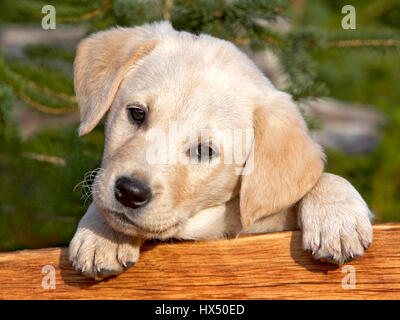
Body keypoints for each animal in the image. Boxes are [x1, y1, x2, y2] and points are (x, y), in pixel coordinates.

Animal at [69, 21, 372, 280]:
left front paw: (337, 219)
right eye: (136, 113)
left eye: (205, 151)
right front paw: (103, 233)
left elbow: (325, 177)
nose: (130, 192)